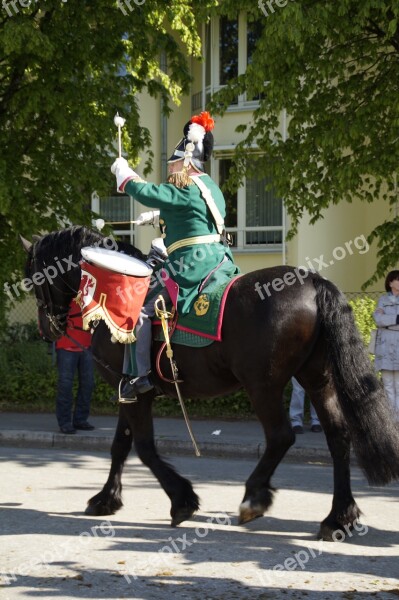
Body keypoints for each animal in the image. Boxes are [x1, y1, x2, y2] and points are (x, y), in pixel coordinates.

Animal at [23, 224, 399, 540]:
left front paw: (182, 500)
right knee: (338, 437)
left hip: (262, 385)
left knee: (281, 436)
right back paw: (338, 517)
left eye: (33, 278)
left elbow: (144, 447)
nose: (46, 328)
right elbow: (120, 446)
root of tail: (313, 281)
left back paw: (254, 499)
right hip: (316, 380)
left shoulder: (135, 392)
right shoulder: (126, 390)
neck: (114, 290)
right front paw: (106, 498)